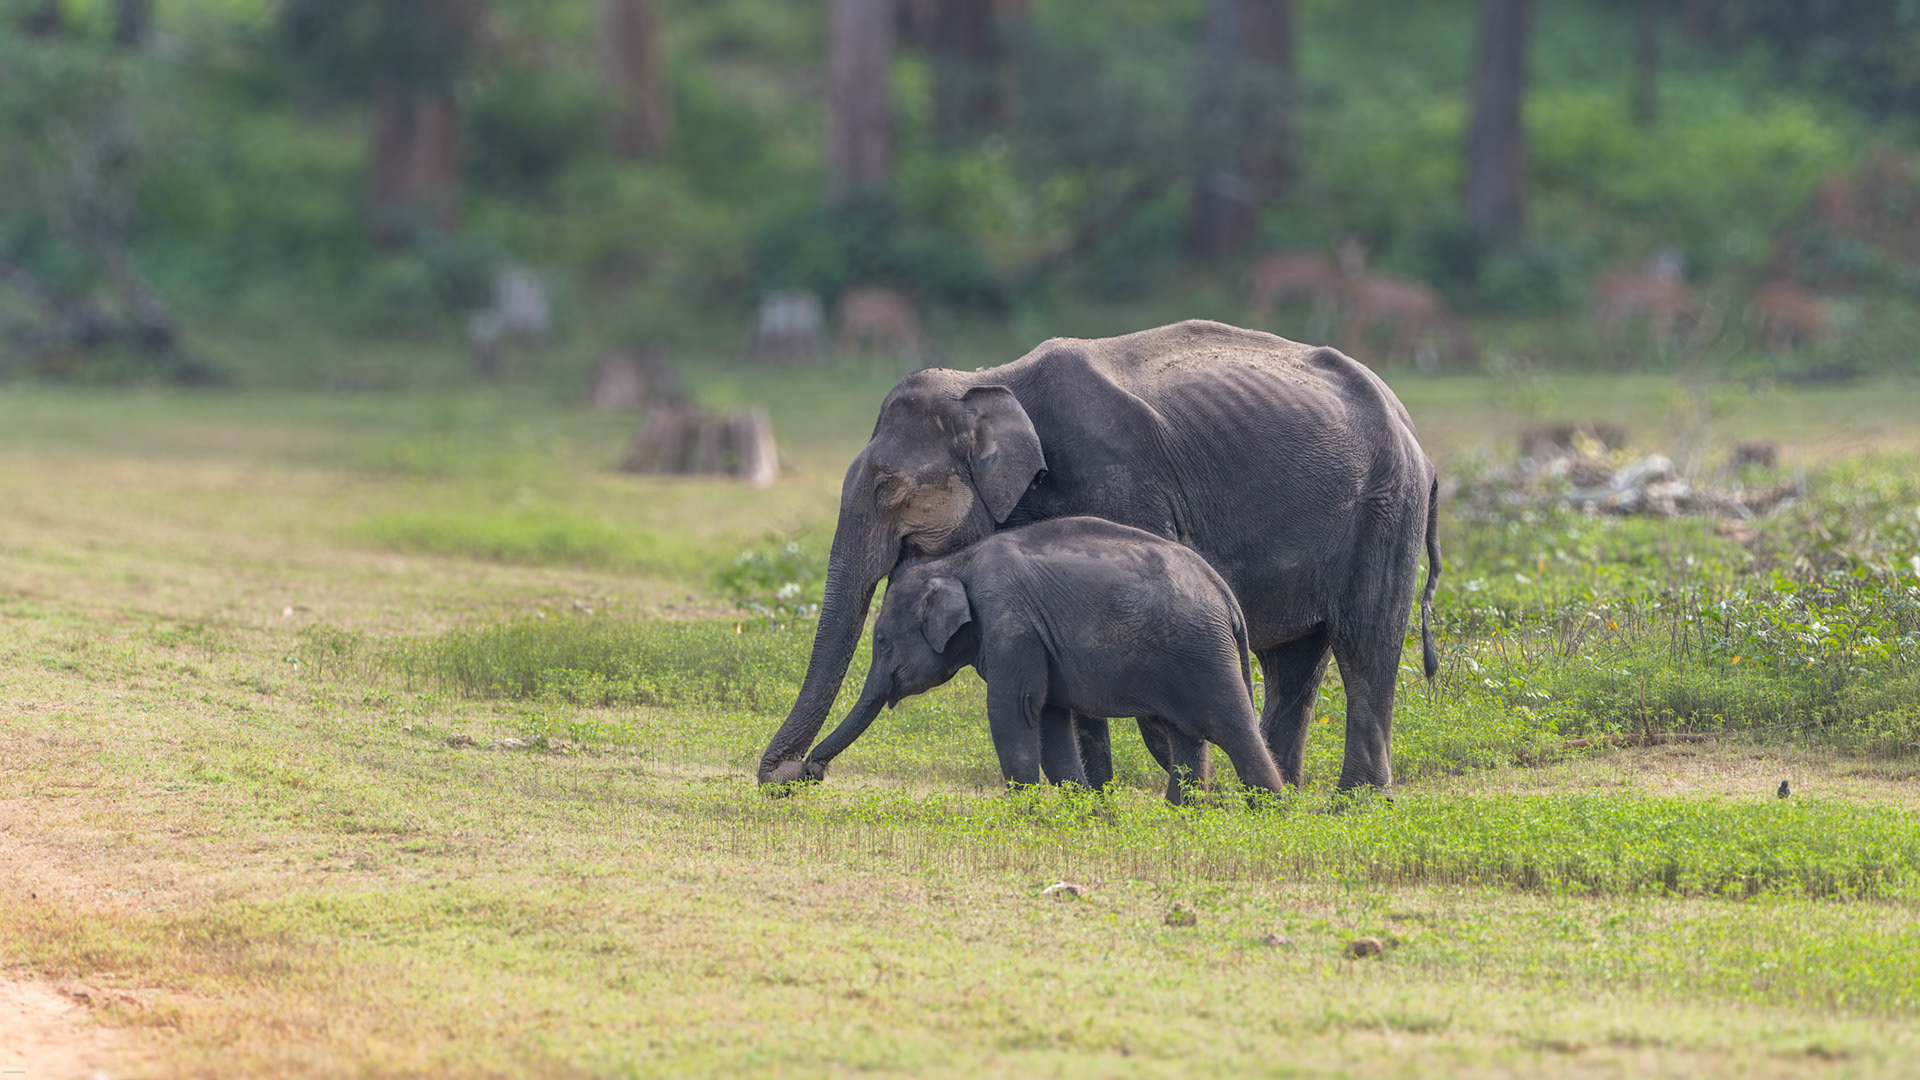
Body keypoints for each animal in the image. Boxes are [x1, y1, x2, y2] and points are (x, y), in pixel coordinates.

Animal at [801, 517, 1288, 804]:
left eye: (881, 640)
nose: (806, 771)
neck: (957, 562)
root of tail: (1224, 593)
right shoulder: (1035, 640)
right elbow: (1051, 720)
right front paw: (1085, 818)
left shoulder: (1011, 625)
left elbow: (1011, 711)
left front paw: (1027, 816)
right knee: (1187, 739)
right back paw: (1180, 818)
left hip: (1205, 654)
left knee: (1234, 731)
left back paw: (1273, 818)